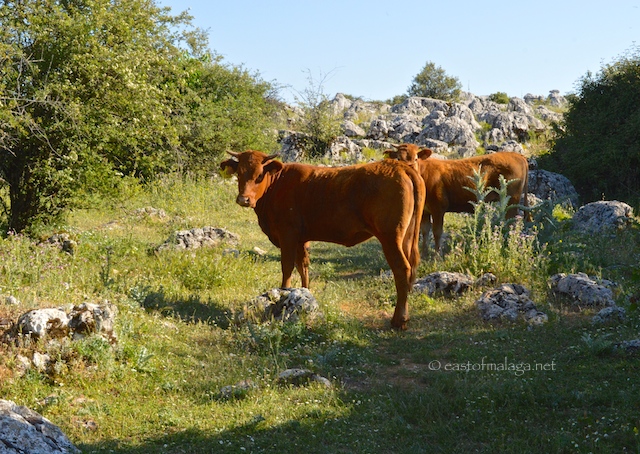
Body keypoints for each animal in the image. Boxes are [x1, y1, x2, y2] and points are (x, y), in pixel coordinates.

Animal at [220, 149, 426, 330]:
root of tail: (400, 167)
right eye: (239, 173)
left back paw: (399, 320)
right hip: (407, 237)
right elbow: (303, 267)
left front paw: (284, 294)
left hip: (390, 237)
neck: (276, 186)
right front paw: (305, 295)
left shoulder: (287, 234)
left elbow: (287, 266)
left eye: (259, 175)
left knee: (402, 269)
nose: (243, 199)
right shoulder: (301, 239)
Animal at [385, 143, 530, 256]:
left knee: (510, 223)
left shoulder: (438, 208)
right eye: (398, 158)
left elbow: (437, 232)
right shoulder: (425, 210)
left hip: (512, 199)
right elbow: (424, 231)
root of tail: (518, 155)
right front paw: (424, 255)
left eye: (415, 158)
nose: (407, 169)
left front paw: (436, 256)